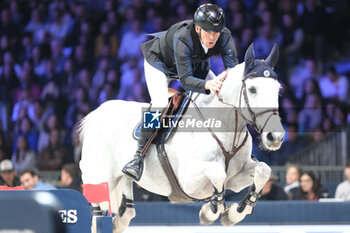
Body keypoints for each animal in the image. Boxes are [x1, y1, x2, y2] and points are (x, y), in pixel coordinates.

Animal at [78, 44, 284, 233]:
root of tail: (95, 114)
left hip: (123, 179)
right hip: (100, 179)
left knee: (125, 212)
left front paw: (233, 214)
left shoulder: (236, 178)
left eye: (278, 89)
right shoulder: (189, 181)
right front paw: (209, 212)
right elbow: (218, 174)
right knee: (96, 212)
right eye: (252, 89)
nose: (275, 137)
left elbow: (263, 170)